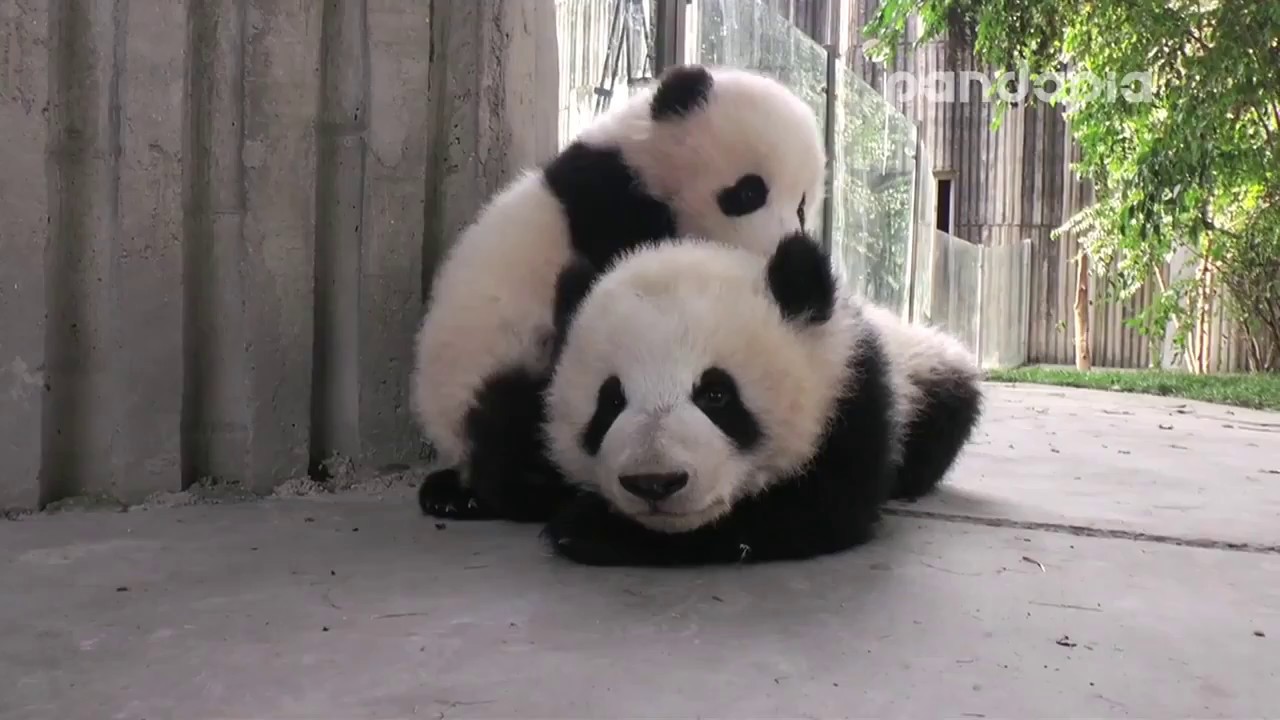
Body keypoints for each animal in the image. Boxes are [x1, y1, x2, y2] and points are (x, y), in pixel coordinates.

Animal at [412, 63, 828, 523]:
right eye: (750, 191)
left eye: (802, 206)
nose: (783, 245)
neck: (645, 162)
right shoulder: (613, 209)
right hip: (493, 364)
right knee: (512, 420)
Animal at [539, 232, 984, 566]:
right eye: (611, 401)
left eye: (716, 395)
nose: (654, 481)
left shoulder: (854, 398)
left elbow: (814, 511)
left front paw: (590, 528)